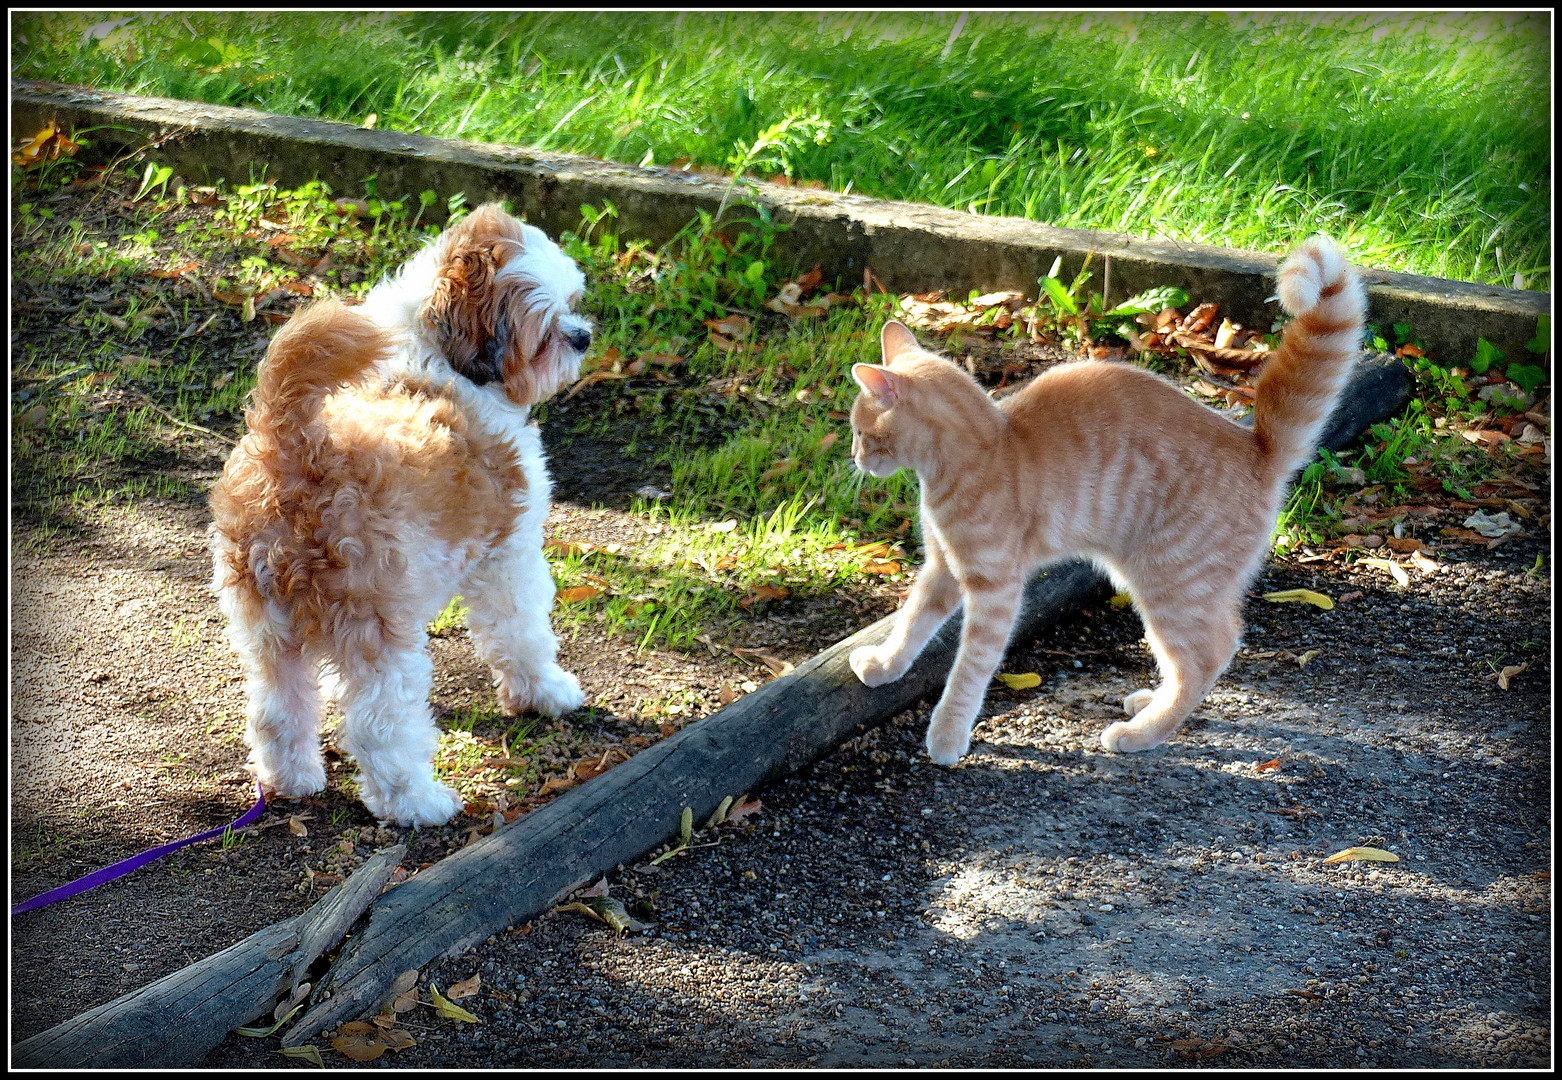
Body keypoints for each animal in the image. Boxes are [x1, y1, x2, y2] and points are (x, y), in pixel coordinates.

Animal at [210, 204, 587, 825]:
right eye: (546, 331)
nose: (582, 336)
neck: (434, 358)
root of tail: (295, 444)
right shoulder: (508, 556)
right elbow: (523, 633)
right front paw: (545, 692)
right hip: (376, 632)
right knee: (378, 728)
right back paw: (417, 802)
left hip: (267, 626)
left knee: (276, 709)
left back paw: (294, 780)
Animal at [843, 236, 1368, 759]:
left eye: (861, 431)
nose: (855, 457)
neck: (986, 448)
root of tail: (1256, 444)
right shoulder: (943, 567)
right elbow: (912, 620)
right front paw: (885, 664)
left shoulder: (994, 589)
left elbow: (970, 667)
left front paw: (948, 734)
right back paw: (1150, 705)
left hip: (1168, 584)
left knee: (1209, 653)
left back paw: (1143, 732)